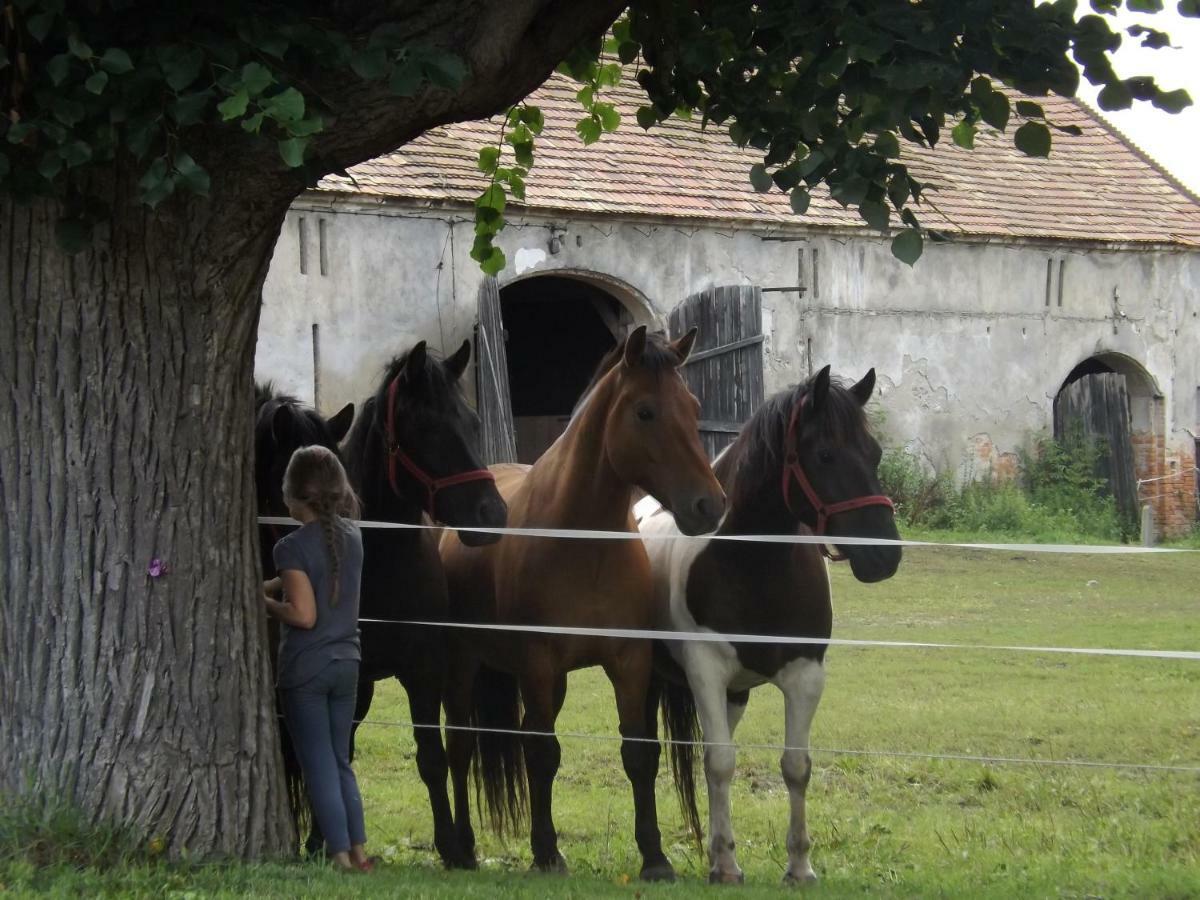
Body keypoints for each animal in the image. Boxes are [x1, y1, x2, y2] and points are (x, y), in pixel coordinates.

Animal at [439, 328, 720, 883]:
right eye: (645, 412)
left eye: (694, 406)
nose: (709, 505)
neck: (583, 542)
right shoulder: (538, 663)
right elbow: (543, 753)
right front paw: (547, 852)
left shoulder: (629, 663)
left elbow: (638, 754)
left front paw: (655, 857)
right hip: (463, 665)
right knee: (461, 749)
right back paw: (463, 848)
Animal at [638, 367, 902, 888]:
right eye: (825, 454)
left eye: (875, 452)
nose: (884, 557)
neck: (752, 564)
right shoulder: (705, 672)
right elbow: (721, 763)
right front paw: (726, 865)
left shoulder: (805, 675)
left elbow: (794, 766)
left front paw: (799, 866)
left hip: (735, 696)